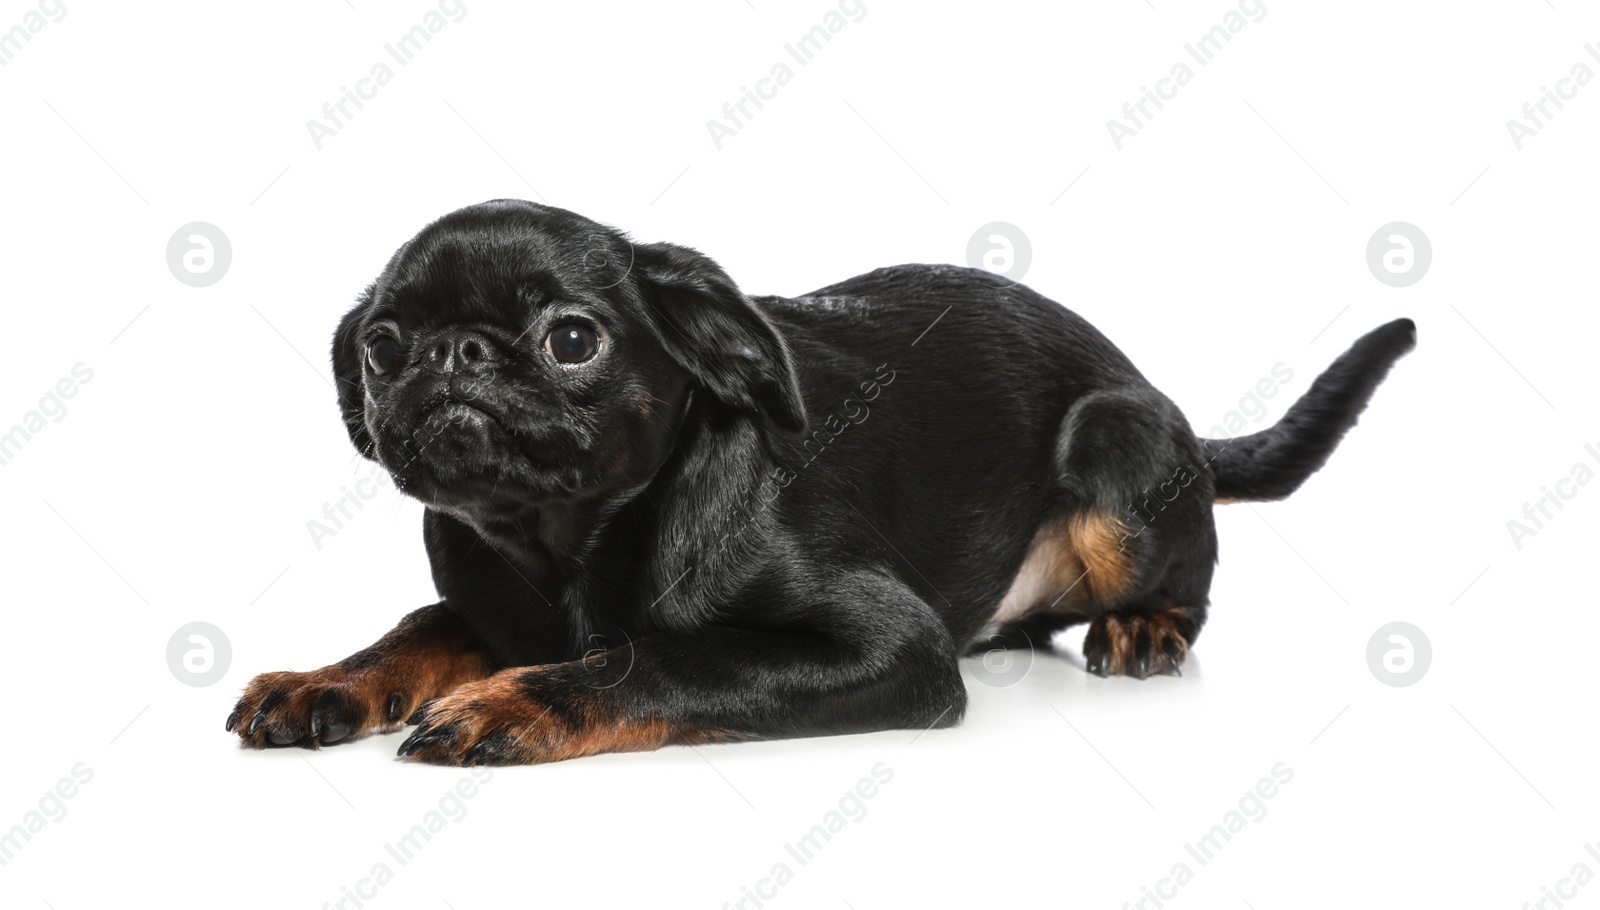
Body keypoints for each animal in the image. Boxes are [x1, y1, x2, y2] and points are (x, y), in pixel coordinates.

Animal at [222, 200, 1414, 767]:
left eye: (570, 339)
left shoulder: (897, 647)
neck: (567, 544)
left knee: (1183, 584)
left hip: (1118, 450)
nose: (452, 355)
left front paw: (521, 699)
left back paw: (1147, 626)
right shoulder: (484, 603)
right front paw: (325, 680)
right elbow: (417, 627)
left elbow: (667, 657)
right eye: (381, 348)